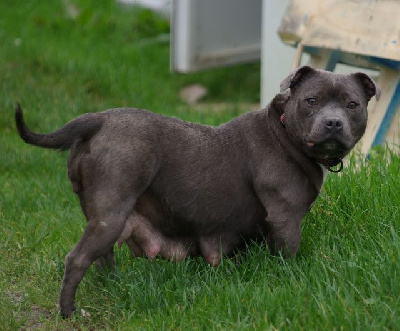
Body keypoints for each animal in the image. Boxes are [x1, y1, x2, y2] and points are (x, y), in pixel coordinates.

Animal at [14, 66, 378, 318]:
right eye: (311, 101)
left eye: (352, 104)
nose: (333, 123)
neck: (285, 133)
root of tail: (97, 120)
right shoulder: (286, 218)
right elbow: (287, 255)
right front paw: (290, 279)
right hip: (111, 214)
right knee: (77, 259)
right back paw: (68, 313)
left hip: (101, 216)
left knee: (101, 257)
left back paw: (113, 287)